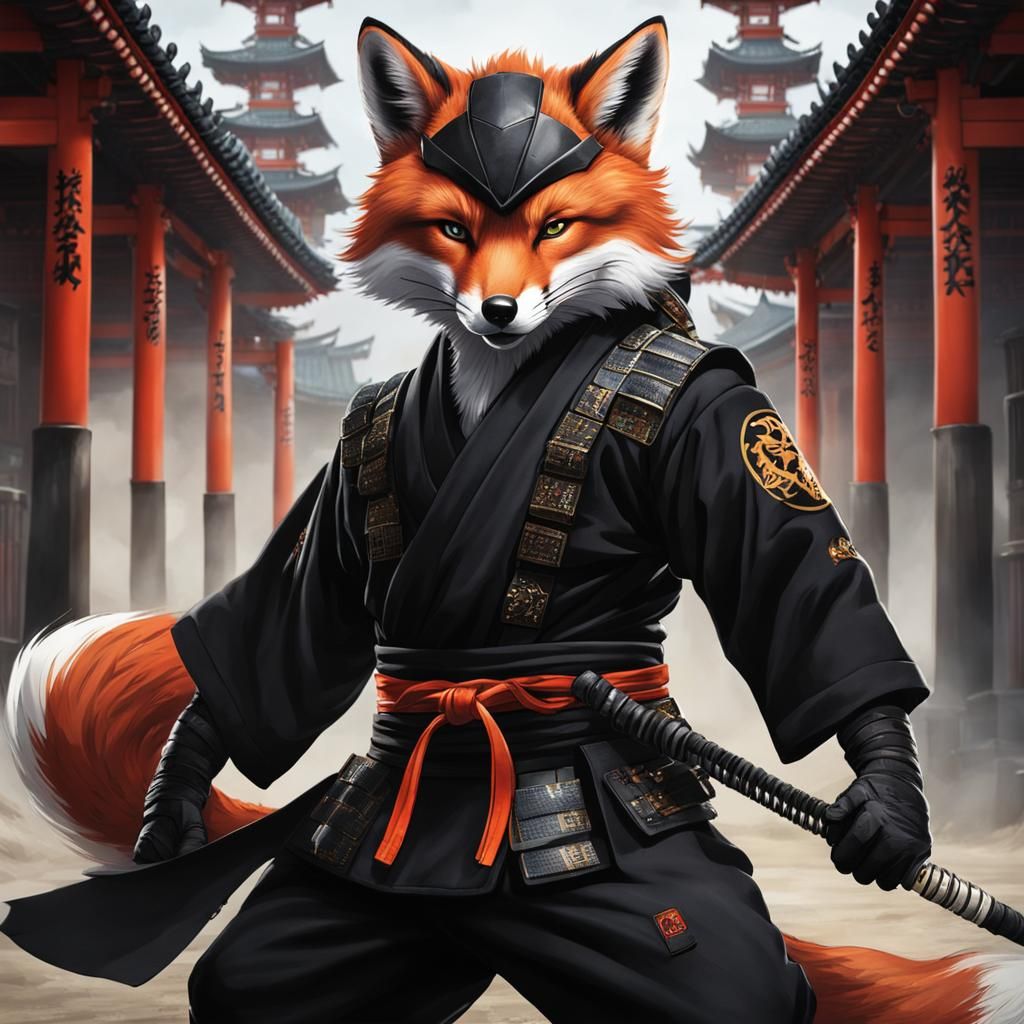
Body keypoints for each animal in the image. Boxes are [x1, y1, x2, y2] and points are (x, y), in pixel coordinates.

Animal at [4, 14, 1024, 1024]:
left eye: (556, 226)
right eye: (454, 228)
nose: (497, 309)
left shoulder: (721, 410)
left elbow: (796, 585)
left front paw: (886, 802)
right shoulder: (348, 460)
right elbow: (295, 621)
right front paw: (177, 784)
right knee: (256, 985)